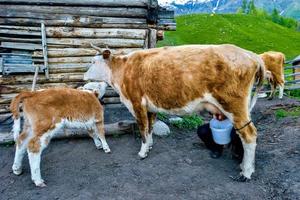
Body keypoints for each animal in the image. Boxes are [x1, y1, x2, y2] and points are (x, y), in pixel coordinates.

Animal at [85, 44, 264, 181]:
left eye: (93, 61)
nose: (84, 75)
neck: (123, 70)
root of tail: (251, 55)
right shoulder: (151, 107)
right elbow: (150, 128)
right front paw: (149, 147)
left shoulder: (137, 104)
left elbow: (143, 129)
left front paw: (142, 153)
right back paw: (244, 166)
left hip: (233, 105)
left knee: (249, 134)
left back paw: (246, 172)